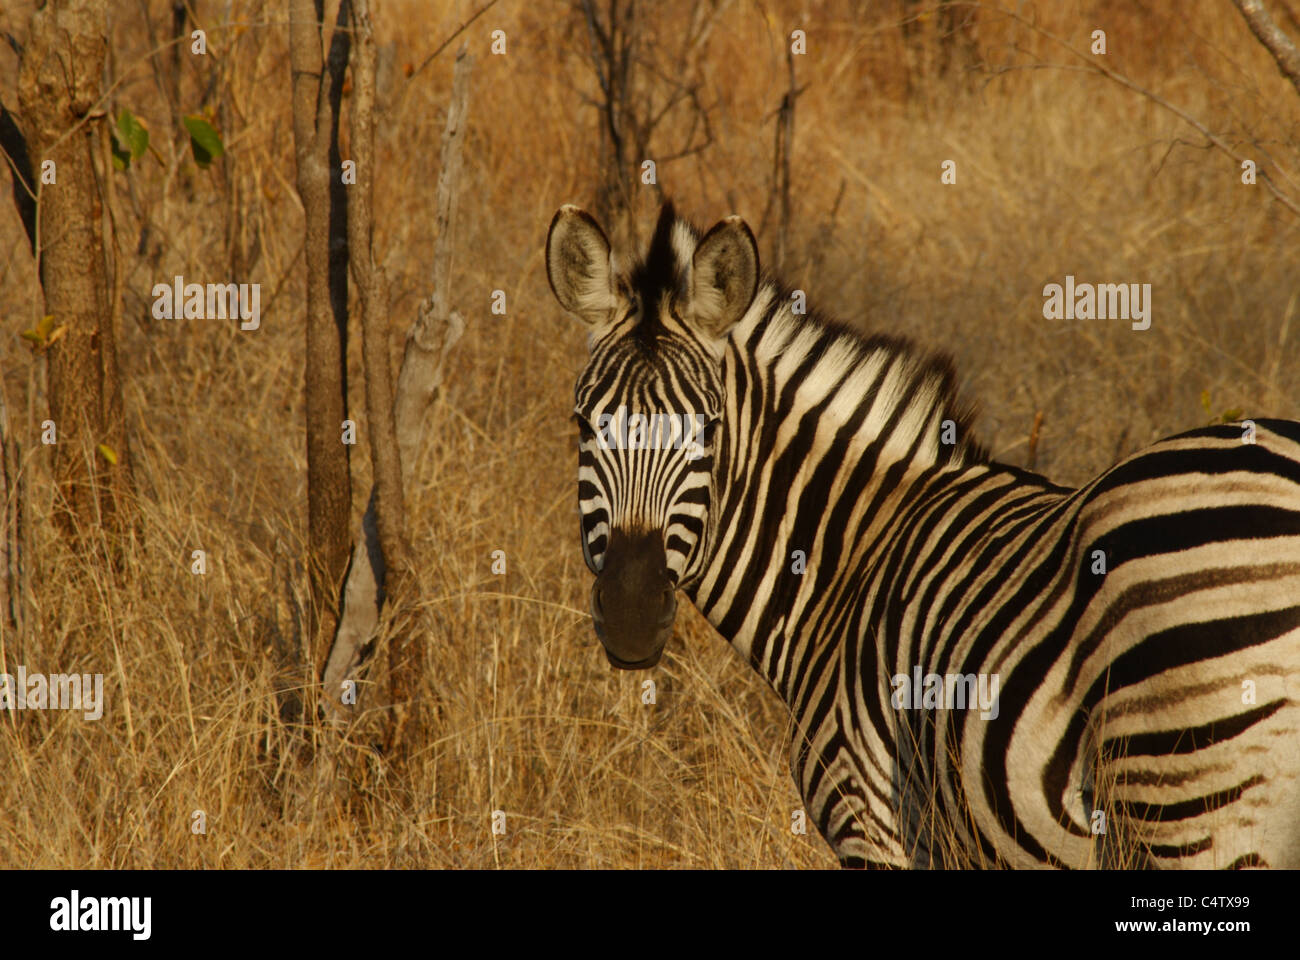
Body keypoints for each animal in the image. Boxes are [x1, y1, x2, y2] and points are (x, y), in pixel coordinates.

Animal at [545, 200, 1300, 869]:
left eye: (708, 428)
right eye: (583, 423)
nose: (633, 614)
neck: (847, 563)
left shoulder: (873, 824)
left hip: (1181, 800)